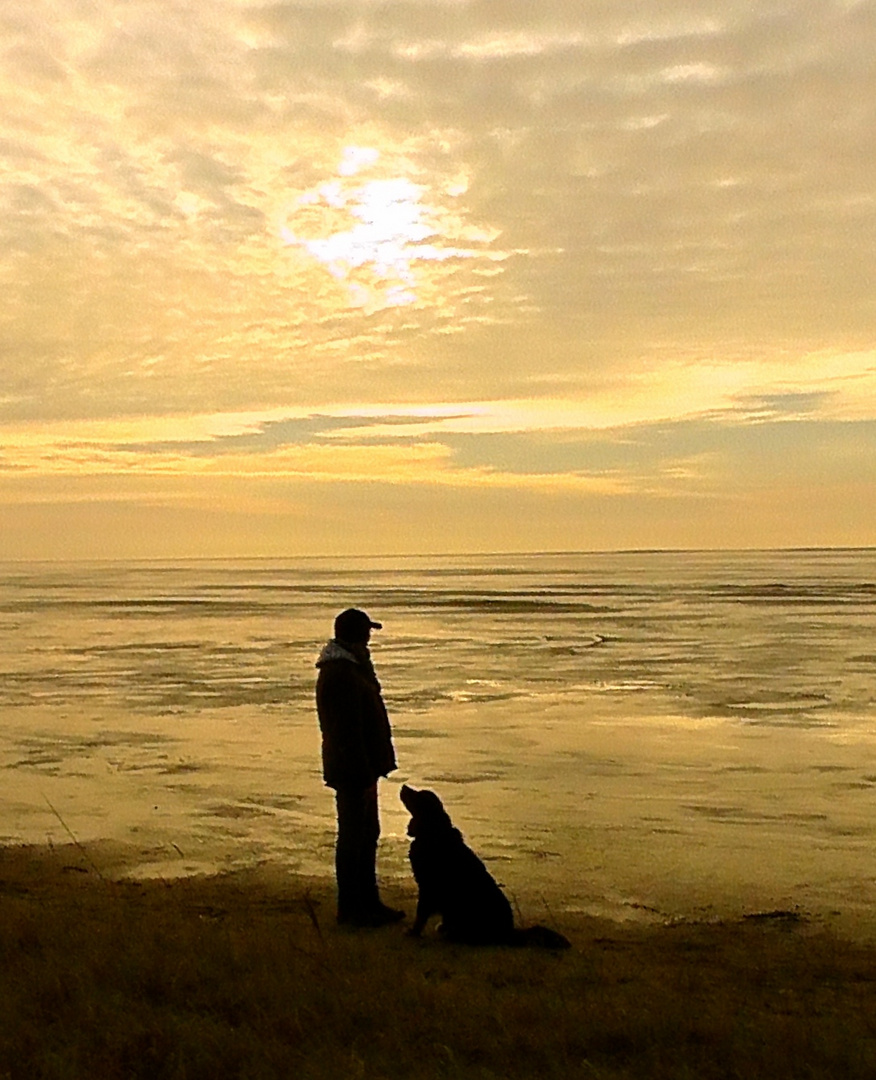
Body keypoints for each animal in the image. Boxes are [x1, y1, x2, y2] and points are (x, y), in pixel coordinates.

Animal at [401, 786, 570, 946]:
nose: (403, 787)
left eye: (417, 795)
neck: (432, 833)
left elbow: (421, 913)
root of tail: (509, 931)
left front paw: (414, 931)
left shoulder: (427, 886)